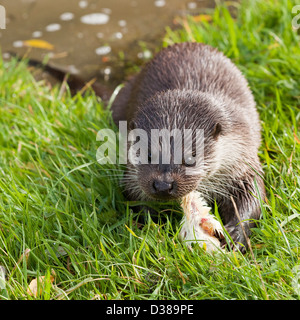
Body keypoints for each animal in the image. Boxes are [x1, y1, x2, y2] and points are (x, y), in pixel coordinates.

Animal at [112, 42, 264, 252]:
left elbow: (254, 196)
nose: (163, 185)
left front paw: (236, 234)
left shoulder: (243, 163)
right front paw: (153, 226)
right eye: (148, 155)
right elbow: (133, 196)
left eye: (191, 157)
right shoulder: (130, 174)